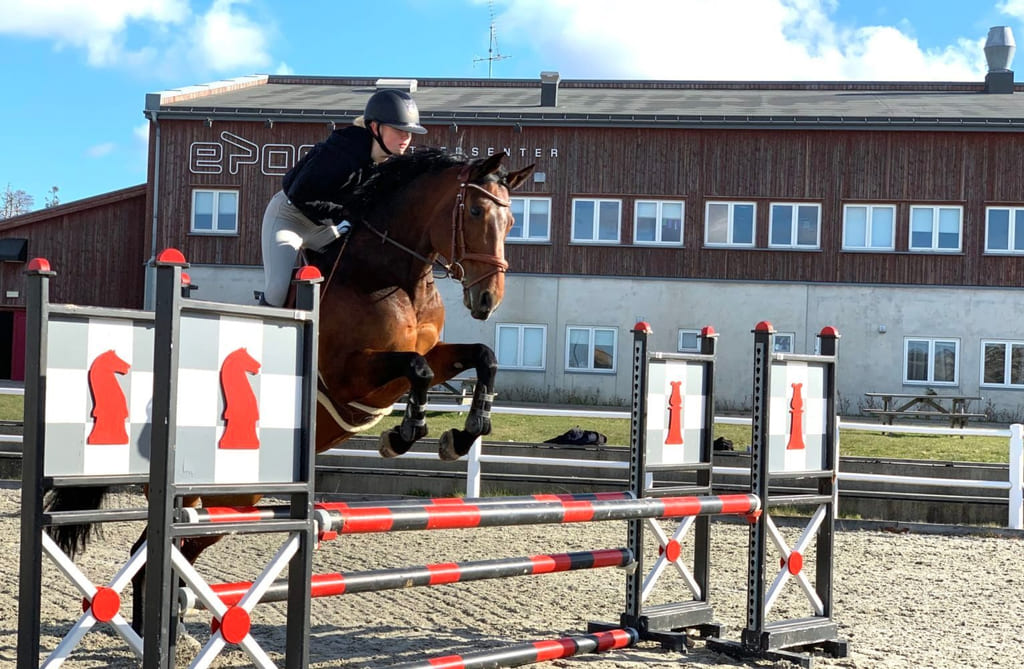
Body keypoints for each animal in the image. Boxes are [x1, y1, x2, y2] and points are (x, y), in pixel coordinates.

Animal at [39, 148, 536, 635]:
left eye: (514, 221)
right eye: (475, 211)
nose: (487, 299)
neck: (394, 276)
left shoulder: (427, 357)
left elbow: (483, 357)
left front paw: (463, 435)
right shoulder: (351, 375)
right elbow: (417, 369)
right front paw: (402, 435)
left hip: (233, 502)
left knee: (177, 550)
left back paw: (170, 629)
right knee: (151, 551)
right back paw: (153, 632)